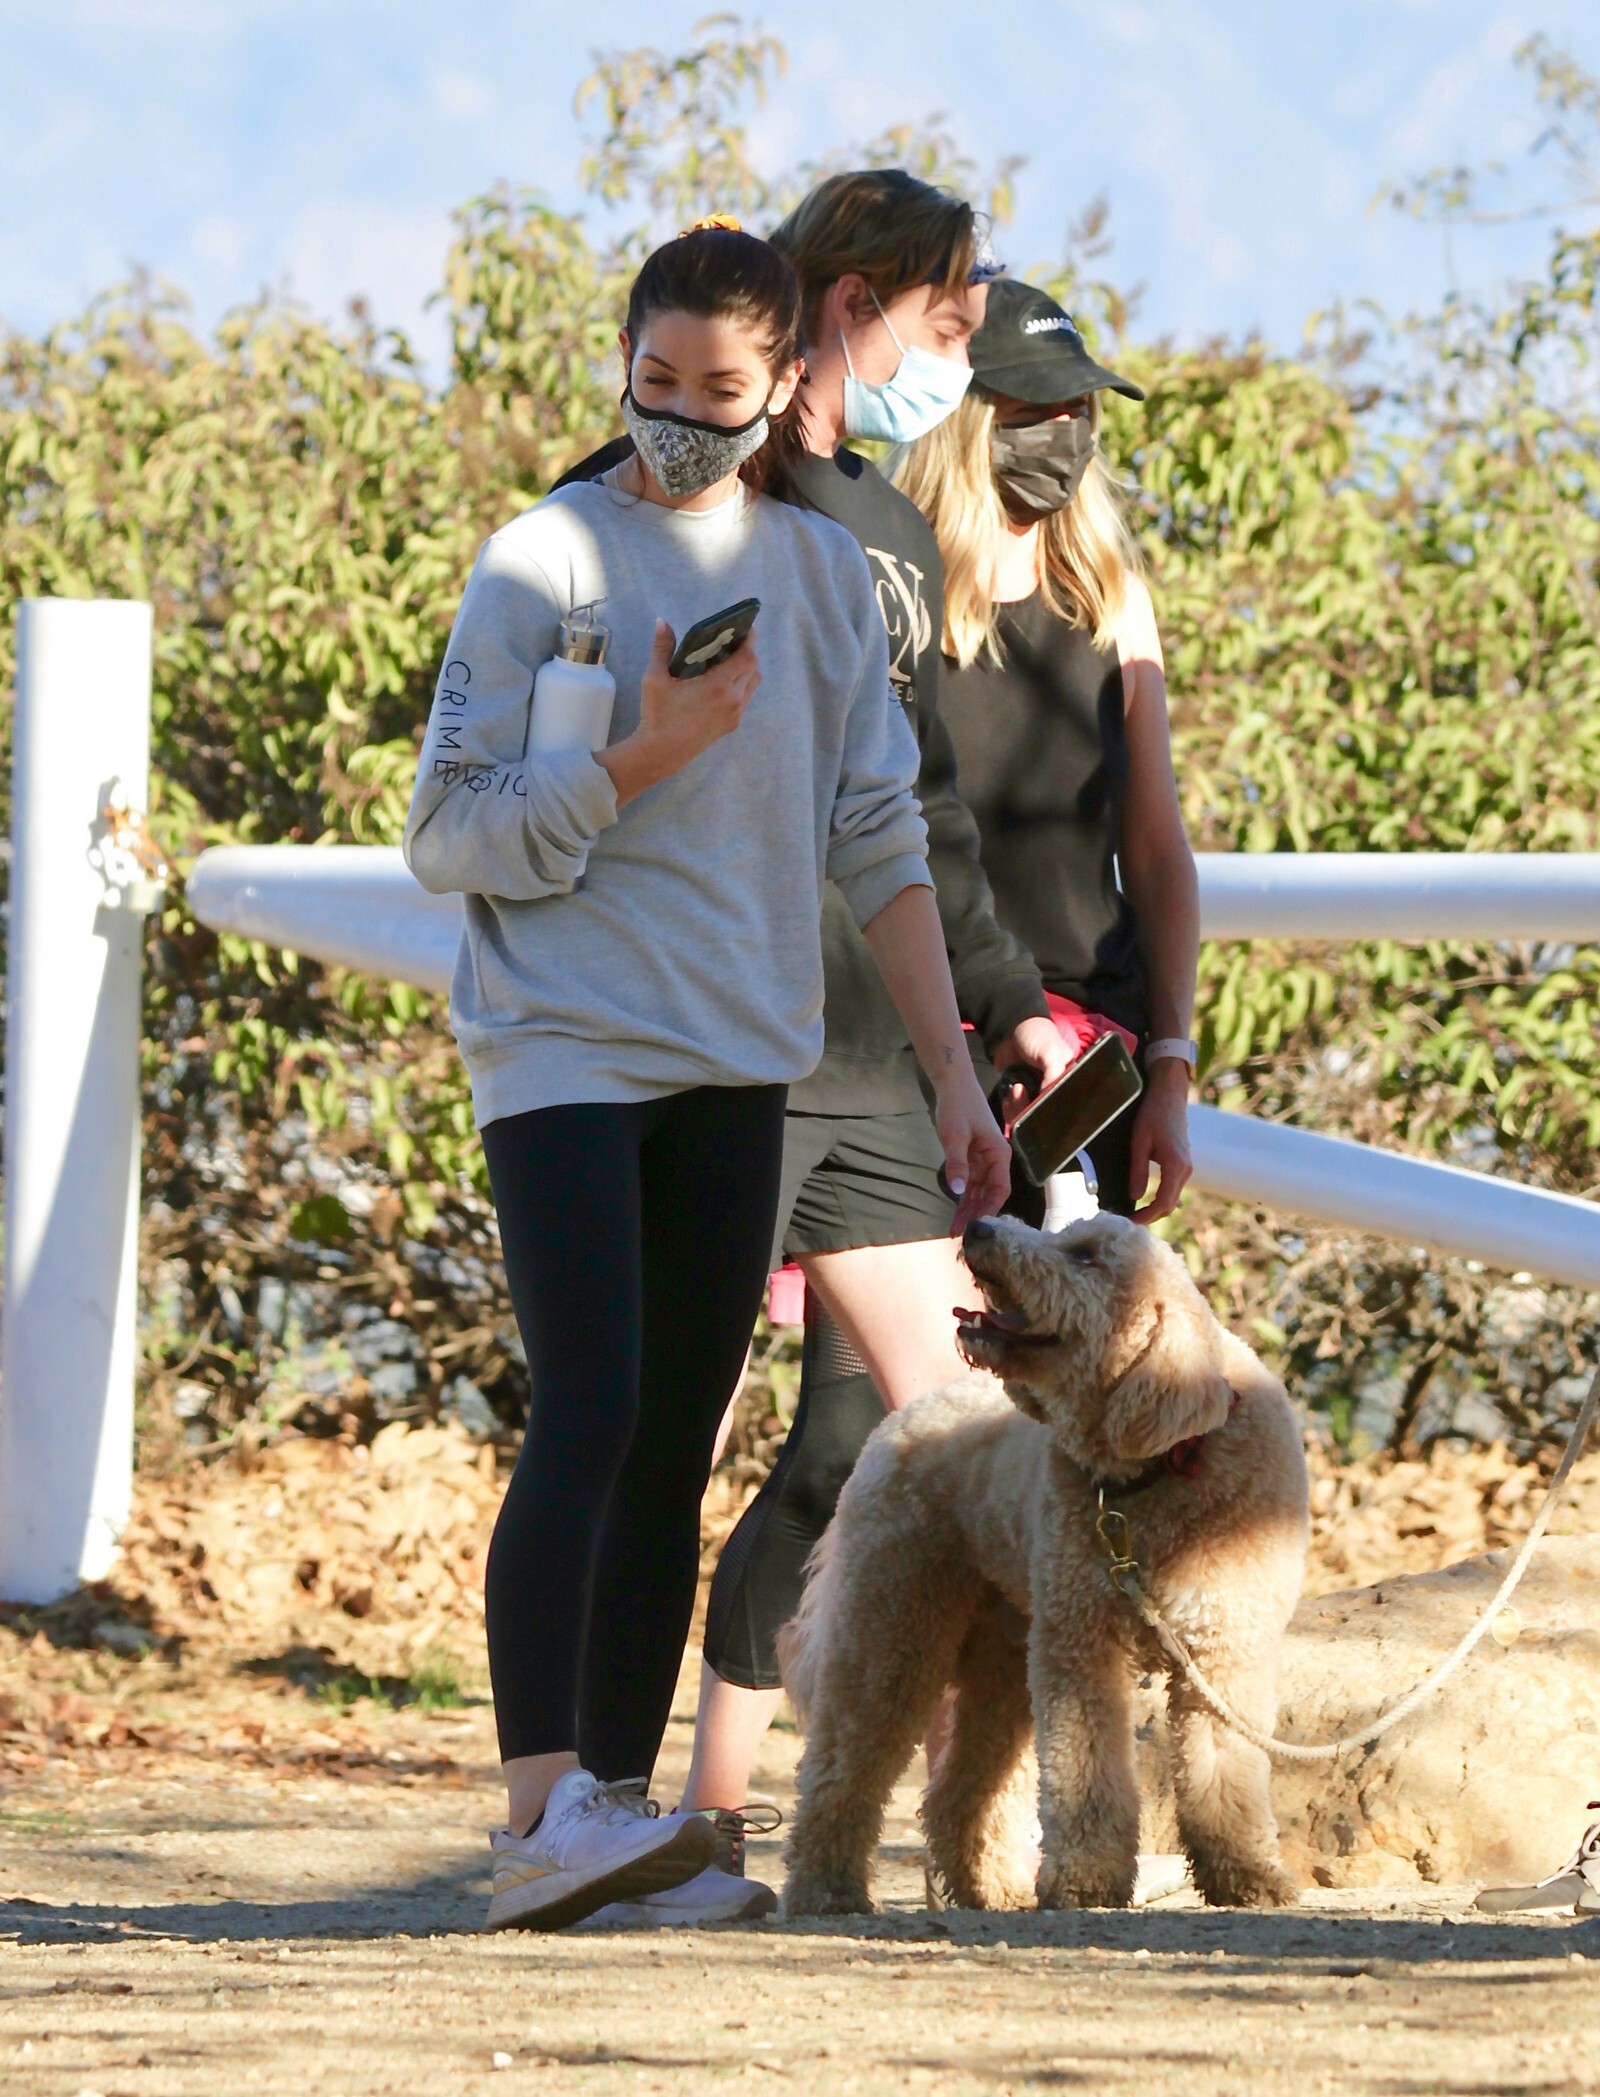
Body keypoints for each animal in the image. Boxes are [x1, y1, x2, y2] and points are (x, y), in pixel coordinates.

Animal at [780, 1210, 1309, 1914]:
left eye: (1084, 1256)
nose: (979, 1226)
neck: (1162, 1466)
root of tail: (901, 1420)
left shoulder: (1225, 1653)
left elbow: (1225, 1774)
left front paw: (1246, 1876)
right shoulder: (1082, 1644)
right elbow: (1085, 1769)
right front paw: (1087, 1879)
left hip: (1002, 1657)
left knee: (959, 1792)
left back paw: (992, 1890)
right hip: (892, 1626)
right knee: (841, 1770)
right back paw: (825, 1890)